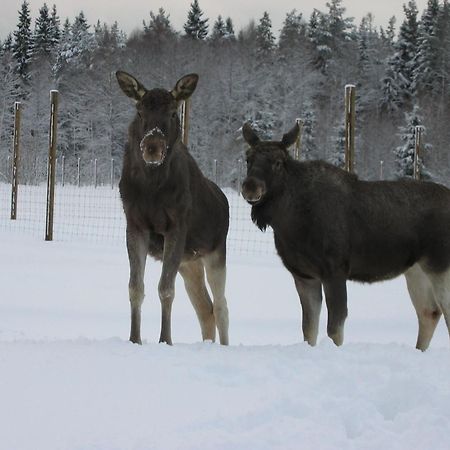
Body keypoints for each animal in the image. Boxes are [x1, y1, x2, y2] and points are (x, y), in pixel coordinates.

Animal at [116, 69, 229, 344]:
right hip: (190, 263)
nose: (152, 147)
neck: (152, 188)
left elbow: (165, 289)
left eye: (173, 112)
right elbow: (135, 287)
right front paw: (134, 339)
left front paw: (165, 340)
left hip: (216, 252)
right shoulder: (135, 225)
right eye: (139, 111)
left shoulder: (176, 226)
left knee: (221, 306)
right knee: (205, 309)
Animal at [243, 121, 450, 350]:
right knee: (429, 312)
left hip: (440, 266)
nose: (250, 186)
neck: (290, 223)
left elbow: (334, 329)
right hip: (416, 270)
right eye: (248, 158)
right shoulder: (304, 275)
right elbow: (308, 330)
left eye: (278, 162)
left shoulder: (335, 270)